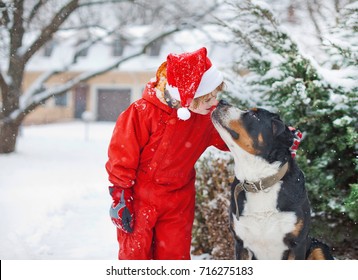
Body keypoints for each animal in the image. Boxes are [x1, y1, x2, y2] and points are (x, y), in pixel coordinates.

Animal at [210, 99, 332, 260]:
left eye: (254, 115)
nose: (221, 101)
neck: (260, 182)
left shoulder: (297, 244)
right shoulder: (240, 243)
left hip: (319, 248)